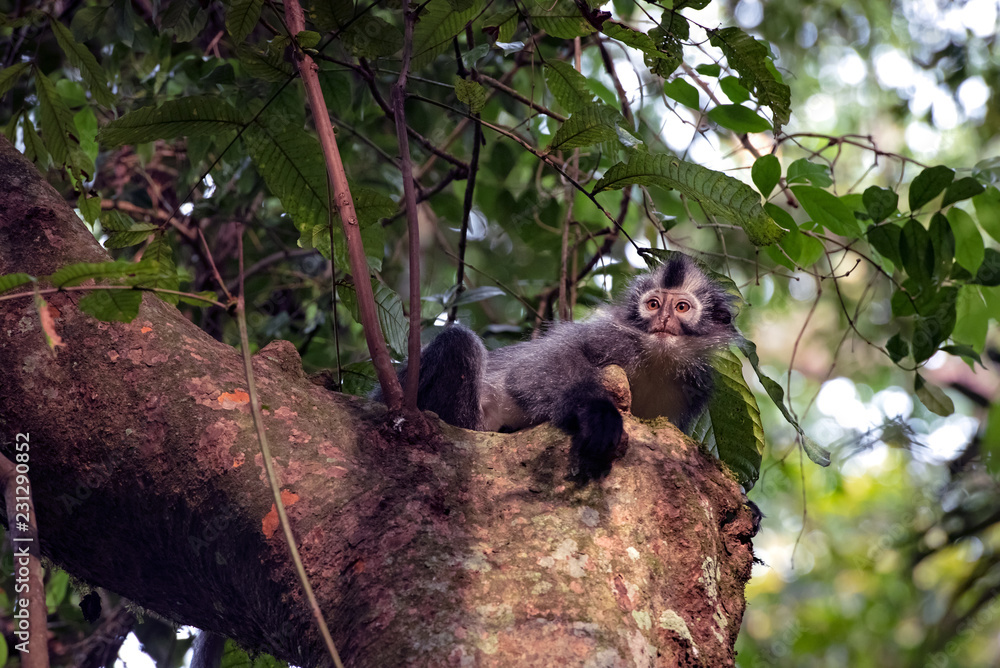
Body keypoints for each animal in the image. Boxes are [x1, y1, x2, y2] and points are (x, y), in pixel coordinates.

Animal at [379, 253, 740, 478]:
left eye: (681, 307)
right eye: (652, 304)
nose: (663, 319)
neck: (657, 361)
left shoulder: (692, 388)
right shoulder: (612, 338)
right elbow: (528, 374)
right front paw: (598, 414)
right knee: (458, 341)